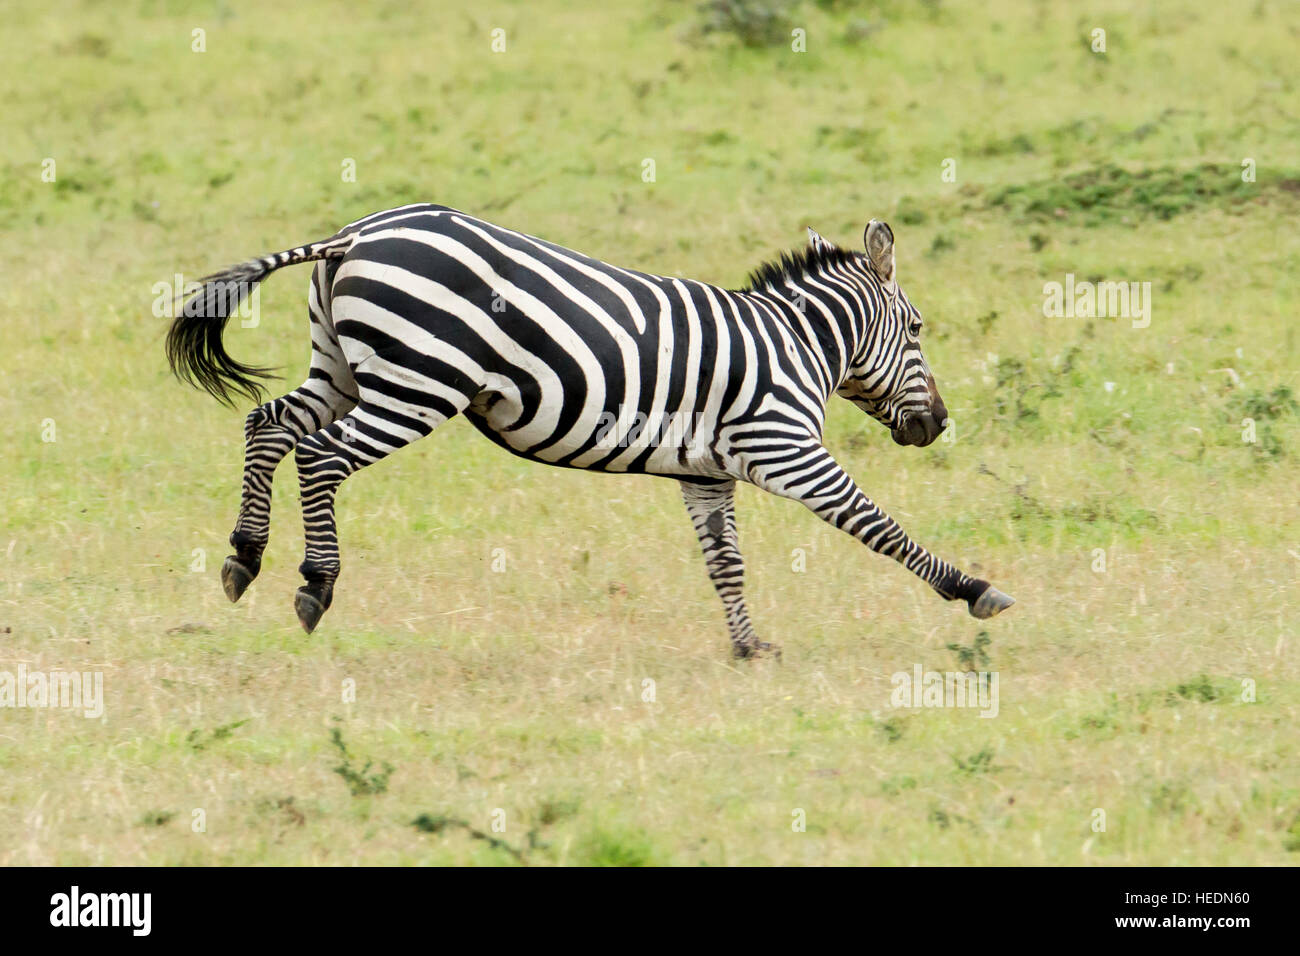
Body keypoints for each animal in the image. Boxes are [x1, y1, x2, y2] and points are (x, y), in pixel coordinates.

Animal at [166, 204, 1014, 658]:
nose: (936, 425)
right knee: (319, 456)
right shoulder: (786, 448)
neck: (796, 343)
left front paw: (748, 646)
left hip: (343, 368)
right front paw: (973, 589)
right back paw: (316, 584)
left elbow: (726, 564)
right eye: (918, 328)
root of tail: (355, 234)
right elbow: (880, 526)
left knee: (269, 423)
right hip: (418, 383)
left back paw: (244, 557)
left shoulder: (707, 471)